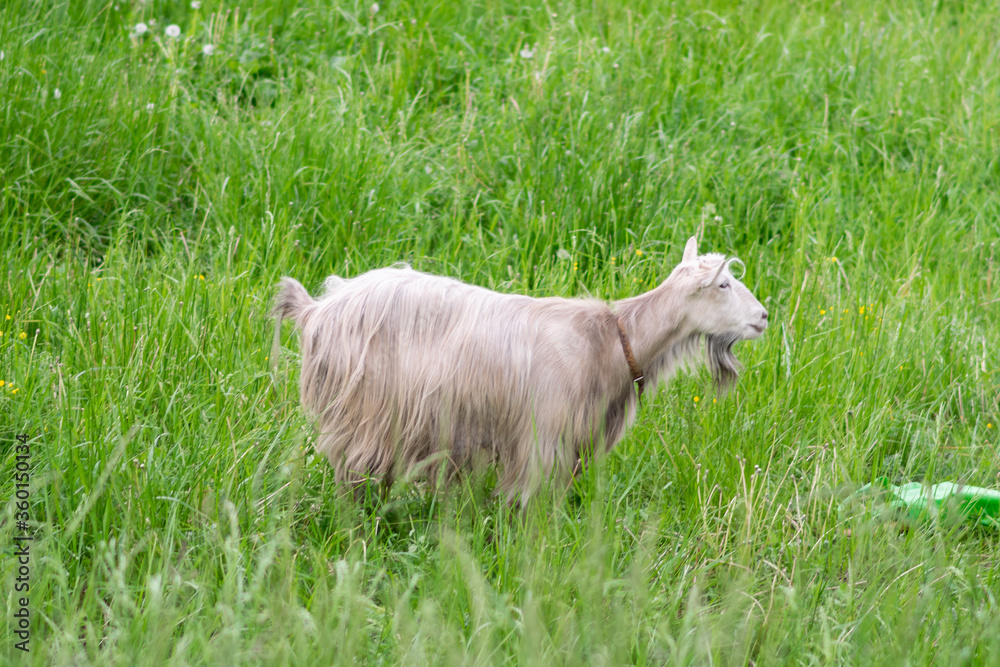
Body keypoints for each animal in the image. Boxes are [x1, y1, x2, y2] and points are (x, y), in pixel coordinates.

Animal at [273, 236, 768, 504]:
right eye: (724, 284)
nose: (763, 317)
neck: (611, 339)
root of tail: (316, 310)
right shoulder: (542, 437)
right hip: (364, 415)